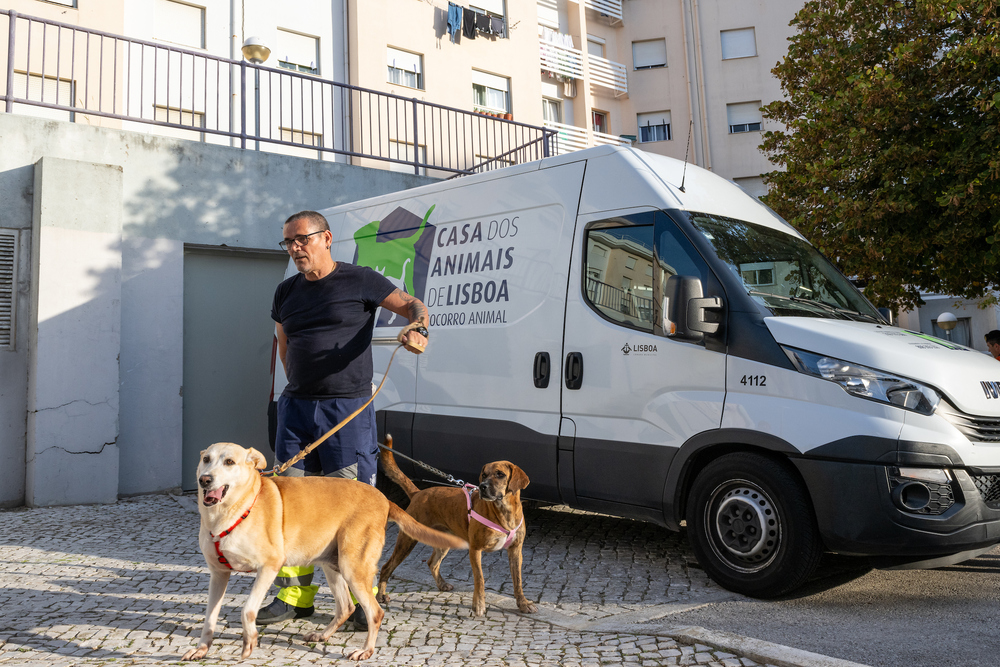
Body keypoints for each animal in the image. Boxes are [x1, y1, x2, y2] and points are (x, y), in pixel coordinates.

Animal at [182, 444, 466, 664]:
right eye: (206, 459)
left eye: (229, 461)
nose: (204, 480)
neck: (231, 512)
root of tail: (384, 499)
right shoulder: (218, 575)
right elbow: (209, 618)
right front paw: (201, 649)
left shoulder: (269, 567)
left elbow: (247, 610)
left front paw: (249, 641)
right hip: (333, 566)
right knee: (346, 606)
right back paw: (323, 636)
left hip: (353, 567)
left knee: (374, 612)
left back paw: (365, 651)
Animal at [376, 436, 536, 620]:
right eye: (484, 474)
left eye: (500, 474)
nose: (482, 486)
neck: (504, 512)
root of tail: (418, 493)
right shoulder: (475, 549)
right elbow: (480, 579)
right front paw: (479, 605)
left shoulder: (516, 550)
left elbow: (518, 581)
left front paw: (523, 604)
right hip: (407, 540)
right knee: (387, 566)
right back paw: (380, 596)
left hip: (442, 541)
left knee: (432, 563)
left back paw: (441, 584)